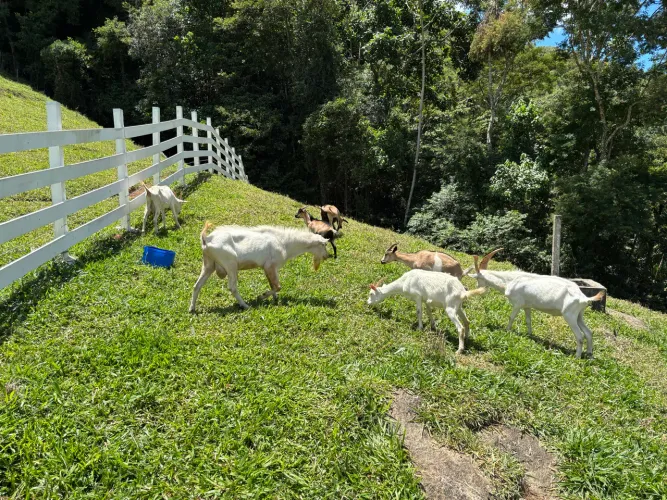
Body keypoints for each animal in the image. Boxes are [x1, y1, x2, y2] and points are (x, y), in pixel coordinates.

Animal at [189, 223, 329, 312]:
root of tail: (207, 239)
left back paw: (192, 309)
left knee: (197, 285)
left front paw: (275, 300)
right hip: (231, 264)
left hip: (208, 265)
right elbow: (278, 286)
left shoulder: (268, 268)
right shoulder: (270, 266)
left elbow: (273, 285)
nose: (327, 256)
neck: (284, 242)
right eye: (324, 245)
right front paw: (262, 296)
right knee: (232, 287)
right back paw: (245, 306)